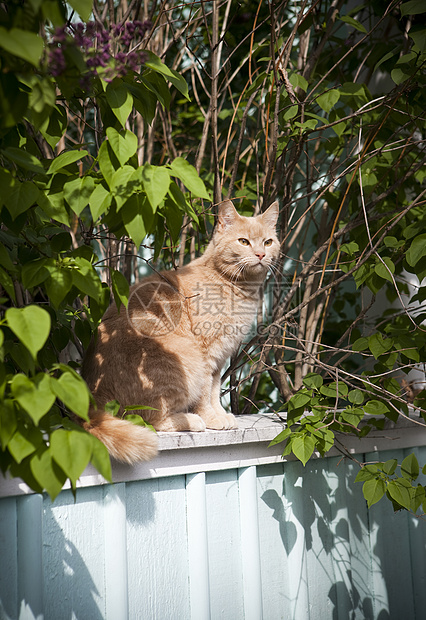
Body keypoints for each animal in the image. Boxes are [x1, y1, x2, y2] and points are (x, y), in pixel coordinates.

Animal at [82, 201, 280, 462]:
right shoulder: (206, 353)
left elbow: (215, 389)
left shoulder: (220, 356)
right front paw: (211, 418)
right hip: (185, 360)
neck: (236, 286)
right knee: (149, 420)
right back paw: (191, 421)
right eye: (244, 241)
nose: (260, 255)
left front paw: (221, 414)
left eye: (267, 242)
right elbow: (205, 393)